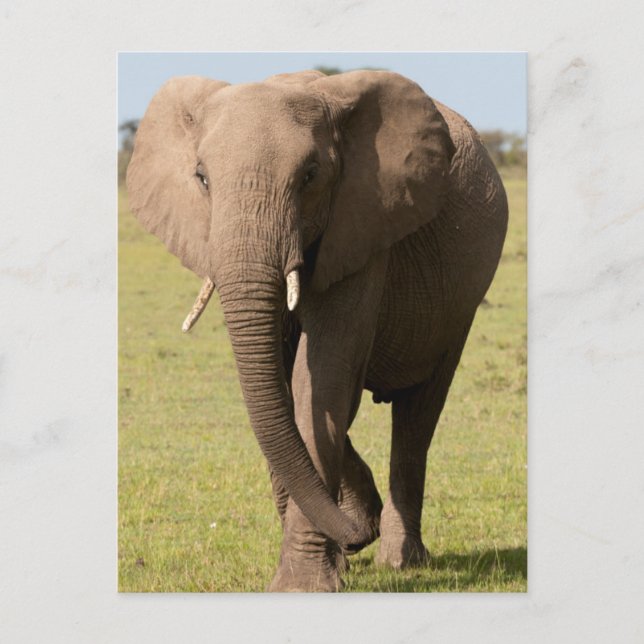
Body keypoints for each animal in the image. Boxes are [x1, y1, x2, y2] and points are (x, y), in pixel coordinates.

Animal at [126, 69, 508, 592]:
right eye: (201, 178)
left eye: (309, 177)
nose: (354, 537)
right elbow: (286, 389)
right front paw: (343, 546)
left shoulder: (364, 225)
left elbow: (322, 378)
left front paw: (302, 585)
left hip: (460, 303)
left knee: (419, 412)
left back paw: (399, 559)